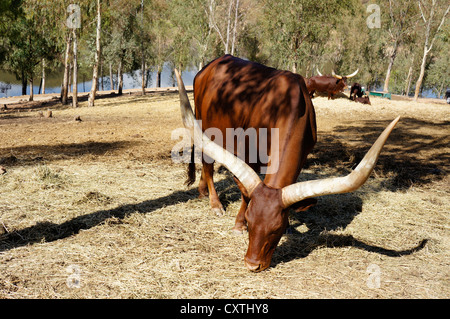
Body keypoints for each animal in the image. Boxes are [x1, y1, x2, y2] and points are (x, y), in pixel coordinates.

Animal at [174, 55, 400, 272]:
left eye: (277, 229)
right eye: (249, 220)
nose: (252, 264)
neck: (286, 108)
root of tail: (210, 65)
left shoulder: (303, 154)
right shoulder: (249, 152)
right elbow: (246, 194)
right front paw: (238, 225)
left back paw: (202, 191)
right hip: (206, 124)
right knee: (207, 164)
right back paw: (215, 204)